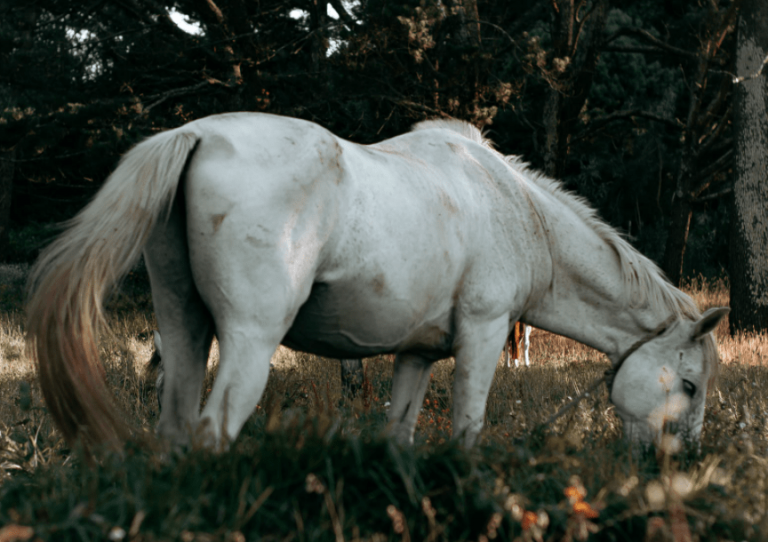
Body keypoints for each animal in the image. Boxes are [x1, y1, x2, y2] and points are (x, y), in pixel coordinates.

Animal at [26, 112, 729, 451]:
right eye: (689, 385)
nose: (684, 460)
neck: (514, 210)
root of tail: (194, 133)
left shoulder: (417, 356)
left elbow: (400, 434)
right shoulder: (482, 338)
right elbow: (467, 433)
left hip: (181, 331)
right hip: (250, 342)